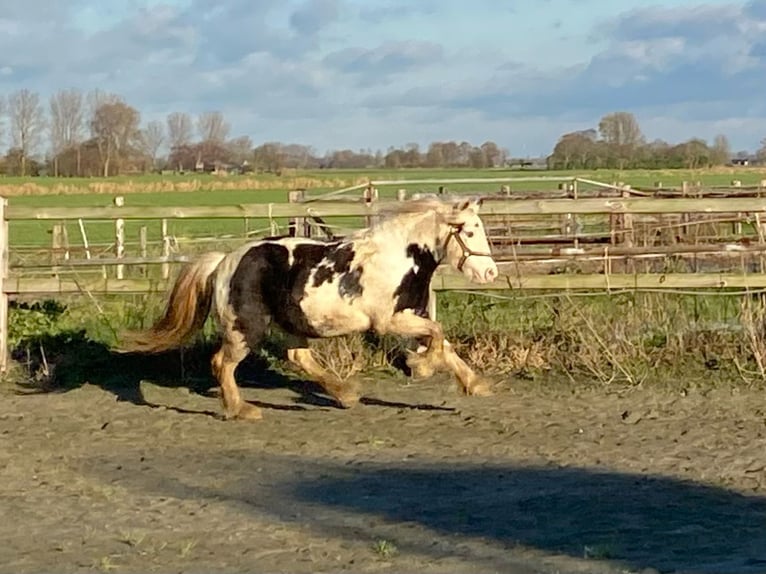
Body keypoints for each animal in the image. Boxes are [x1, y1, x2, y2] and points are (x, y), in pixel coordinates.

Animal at [121, 196, 500, 420]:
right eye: (468, 231)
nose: (490, 273)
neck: (400, 257)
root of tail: (224, 262)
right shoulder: (388, 321)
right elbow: (437, 336)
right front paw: (420, 367)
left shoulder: (413, 316)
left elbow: (443, 343)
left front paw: (474, 384)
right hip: (246, 328)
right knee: (222, 363)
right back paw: (242, 409)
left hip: (290, 324)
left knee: (298, 357)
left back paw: (345, 394)